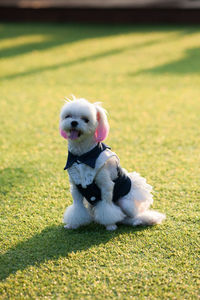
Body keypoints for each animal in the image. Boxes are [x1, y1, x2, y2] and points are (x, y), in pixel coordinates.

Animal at [59, 96, 166, 230]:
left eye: (86, 120)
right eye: (68, 116)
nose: (74, 122)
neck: (82, 155)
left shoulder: (106, 185)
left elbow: (107, 207)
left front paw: (110, 225)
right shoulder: (76, 187)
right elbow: (77, 208)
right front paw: (72, 224)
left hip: (126, 203)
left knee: (133, 215)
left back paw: (137, 221)